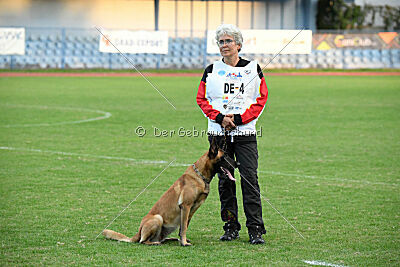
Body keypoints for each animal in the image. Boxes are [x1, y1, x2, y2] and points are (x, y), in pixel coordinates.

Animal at [103, 138, 238, 247]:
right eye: (225, 156)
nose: (238, 164)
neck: (200, 176)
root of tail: (138, 232)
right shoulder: (186, 206)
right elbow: (183, 228)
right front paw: (184, 243)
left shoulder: (191, 209)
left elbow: (184, 226)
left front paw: (182, 240)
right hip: (157, 218)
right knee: (143, 241)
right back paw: (155, 243)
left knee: (159, 239)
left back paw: (170, 239)